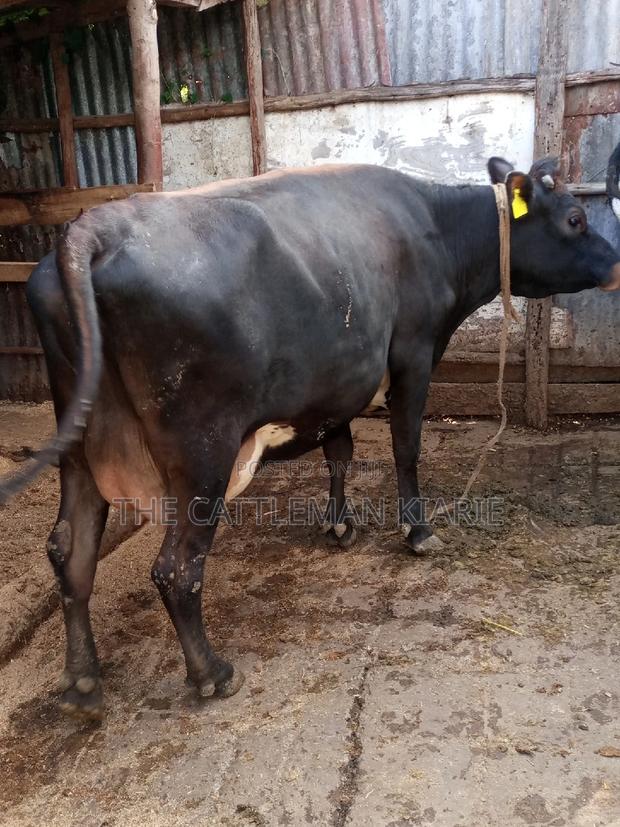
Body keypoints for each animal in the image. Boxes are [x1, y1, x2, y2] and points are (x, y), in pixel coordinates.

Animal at [1, 154, 619, 719]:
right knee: (175, 568)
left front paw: (339, 524)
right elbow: (406, 447)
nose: (616, 263)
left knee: (70, 550)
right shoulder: (414, 352)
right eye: (574, 219)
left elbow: (339, 452)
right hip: (203, 449)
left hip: (81, 444)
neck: (436, 228)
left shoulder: (338, 381)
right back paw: (211, 673)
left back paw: (82, 681)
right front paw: (417, 531)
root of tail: (92, 228)